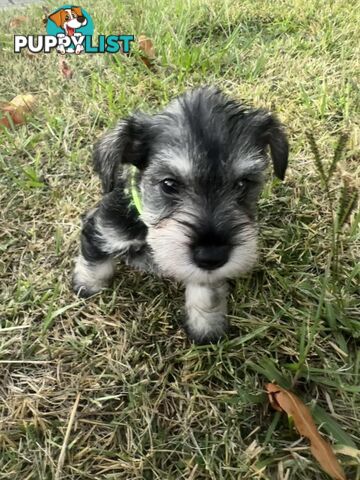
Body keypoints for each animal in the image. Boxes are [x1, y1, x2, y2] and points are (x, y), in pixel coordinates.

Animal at [71, 85, 288, 342]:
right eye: (169, 184)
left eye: (243, 183)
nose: (211, 256)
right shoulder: (104, 228)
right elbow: (96, 259)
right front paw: (87, 286)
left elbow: (206, 292)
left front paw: (206, 328)